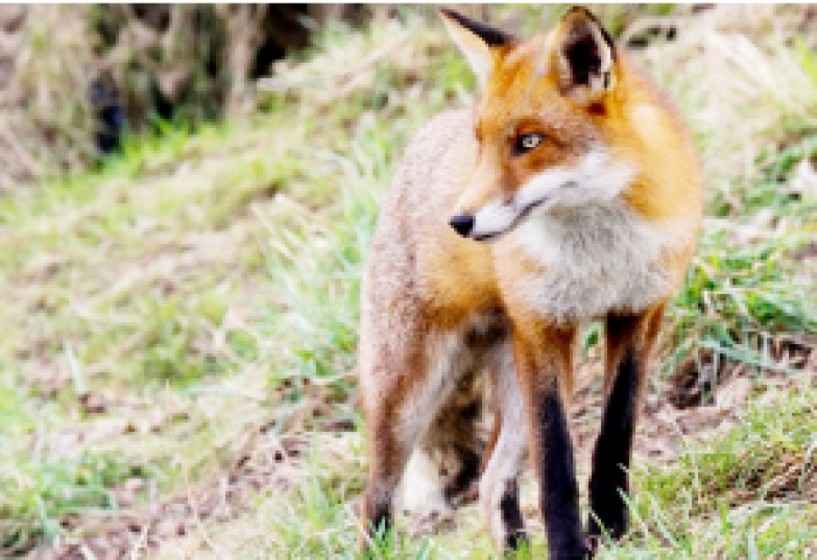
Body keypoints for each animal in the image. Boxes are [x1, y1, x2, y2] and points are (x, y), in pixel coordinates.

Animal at [356, 5, 700, 560]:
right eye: (481, 143)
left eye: (529, 142)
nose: (459, 222)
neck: (600, 256)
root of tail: (422, 135)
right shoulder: (544, 329)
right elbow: (556, 464)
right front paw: (569, 547)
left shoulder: (639, 312)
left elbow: (614, 435)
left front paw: (610, 529)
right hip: (408, 392)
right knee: (374, 498)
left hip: (507, 384)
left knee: (492, 477)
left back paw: (514, 546)